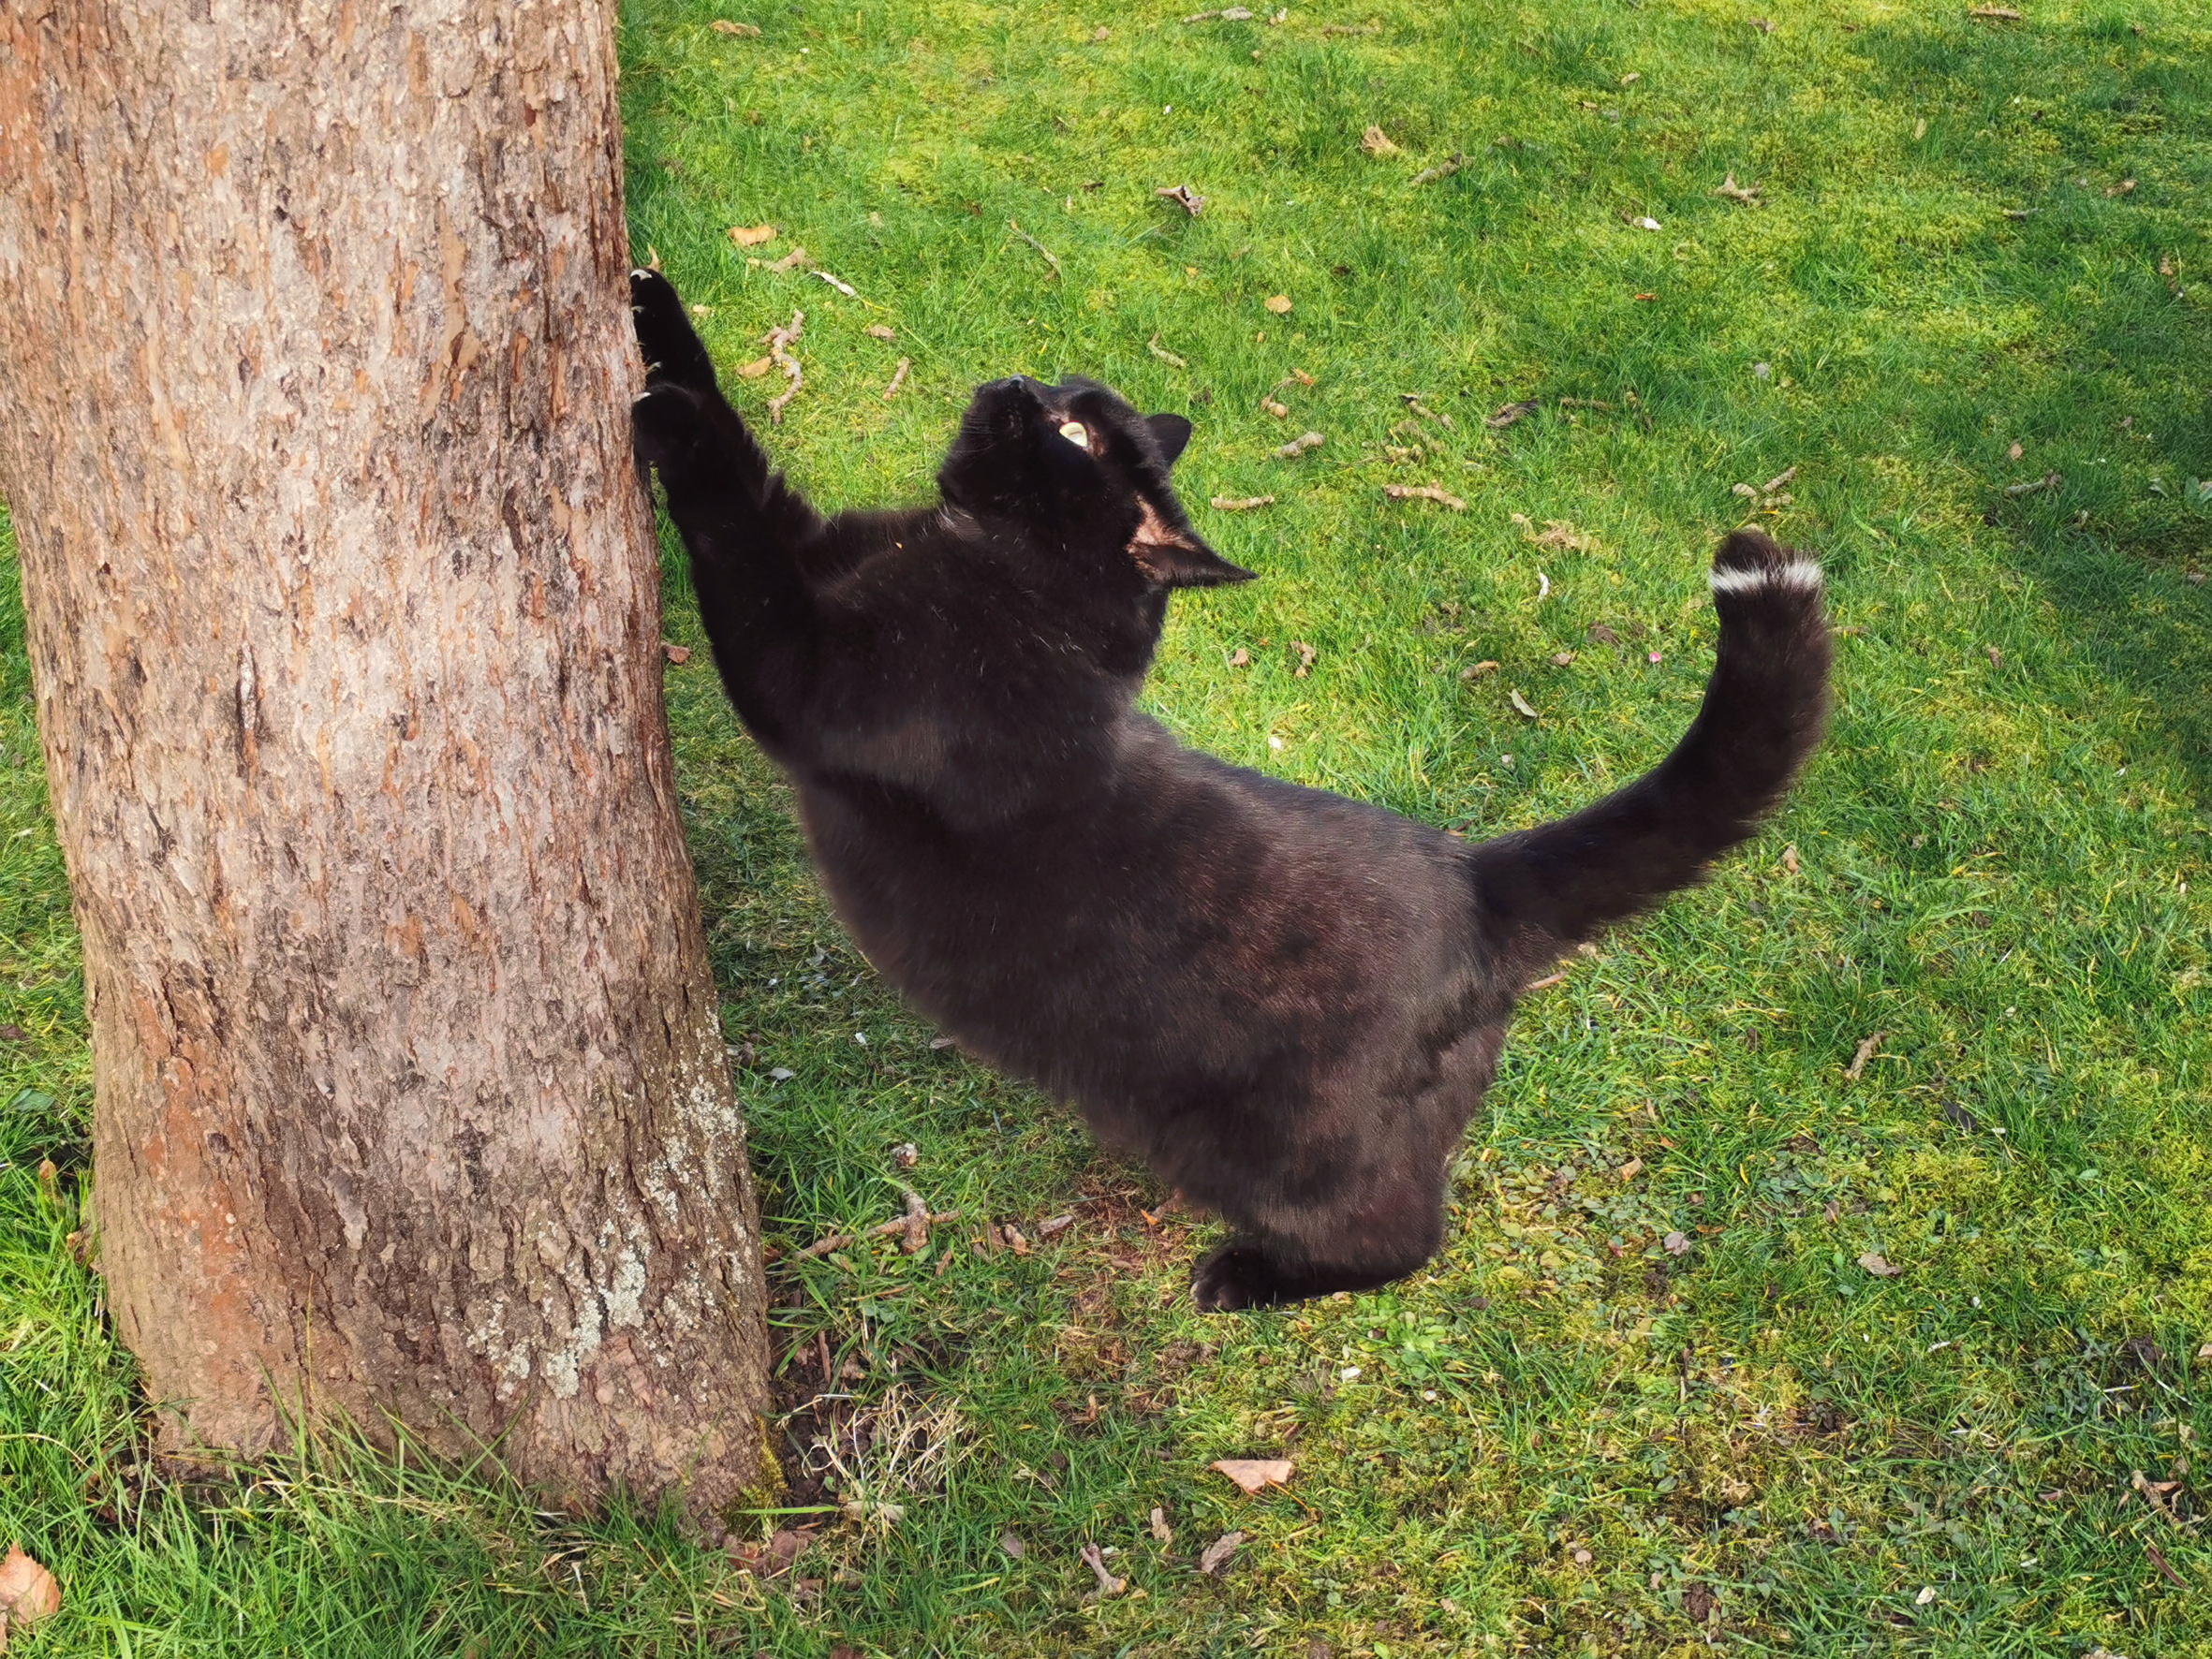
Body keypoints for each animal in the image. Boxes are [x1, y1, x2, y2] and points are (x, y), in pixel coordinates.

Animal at [627, 270, 1831, 1309]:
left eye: (1072, 432)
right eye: (1065, 392)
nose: (1017, 380)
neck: (1008, 576)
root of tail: (1481, 873)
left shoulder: (805, 672)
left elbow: (734, 525)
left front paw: (670, 419)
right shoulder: (819, 551)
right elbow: (752, 461)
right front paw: (653, 311)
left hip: (1293, 1150)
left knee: (1402, 1238)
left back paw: (1245, 1278)